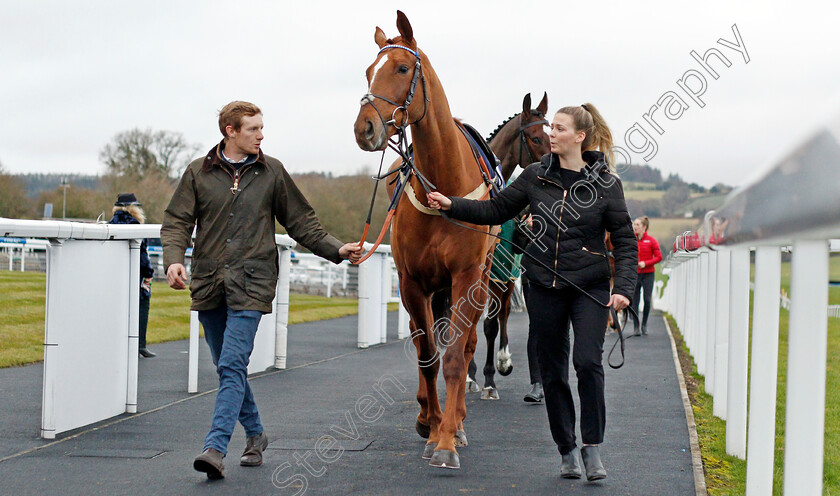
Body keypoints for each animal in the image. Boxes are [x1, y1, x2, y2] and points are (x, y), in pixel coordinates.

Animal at [354, 10, 498, 468]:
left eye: (402, 68)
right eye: (369, 71)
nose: (365, 128)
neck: (444, 182)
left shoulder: (466, 277)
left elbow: (453, 358)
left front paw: (448, 439)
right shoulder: (413, 282)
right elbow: (427, 356)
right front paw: (432, 426)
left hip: (481, 279)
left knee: (466, 346)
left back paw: (459, 421)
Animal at [466, 91, 552, 400]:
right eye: (536, 138)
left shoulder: (498, 272)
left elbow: (491, 324)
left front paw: (491, 378)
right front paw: (472, 376)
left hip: (506, 276)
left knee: (501, 314)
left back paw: (503, 361)